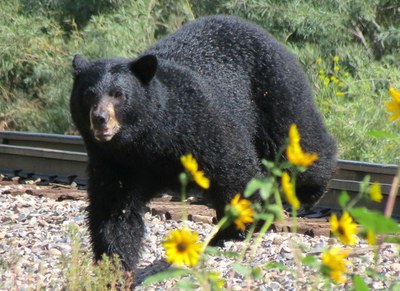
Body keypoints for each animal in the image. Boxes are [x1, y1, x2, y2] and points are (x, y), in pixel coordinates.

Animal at [70, 15, 336, 272]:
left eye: (119, 95)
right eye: (88, 95)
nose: (100, 119)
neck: (144, 140)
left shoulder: (198, 124)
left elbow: (233, 168)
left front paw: (235, 229)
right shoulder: (114, 161)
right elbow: (115, 209)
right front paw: (115, 263)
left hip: (273, 88)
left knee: (297, 135)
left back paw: (307, 193)